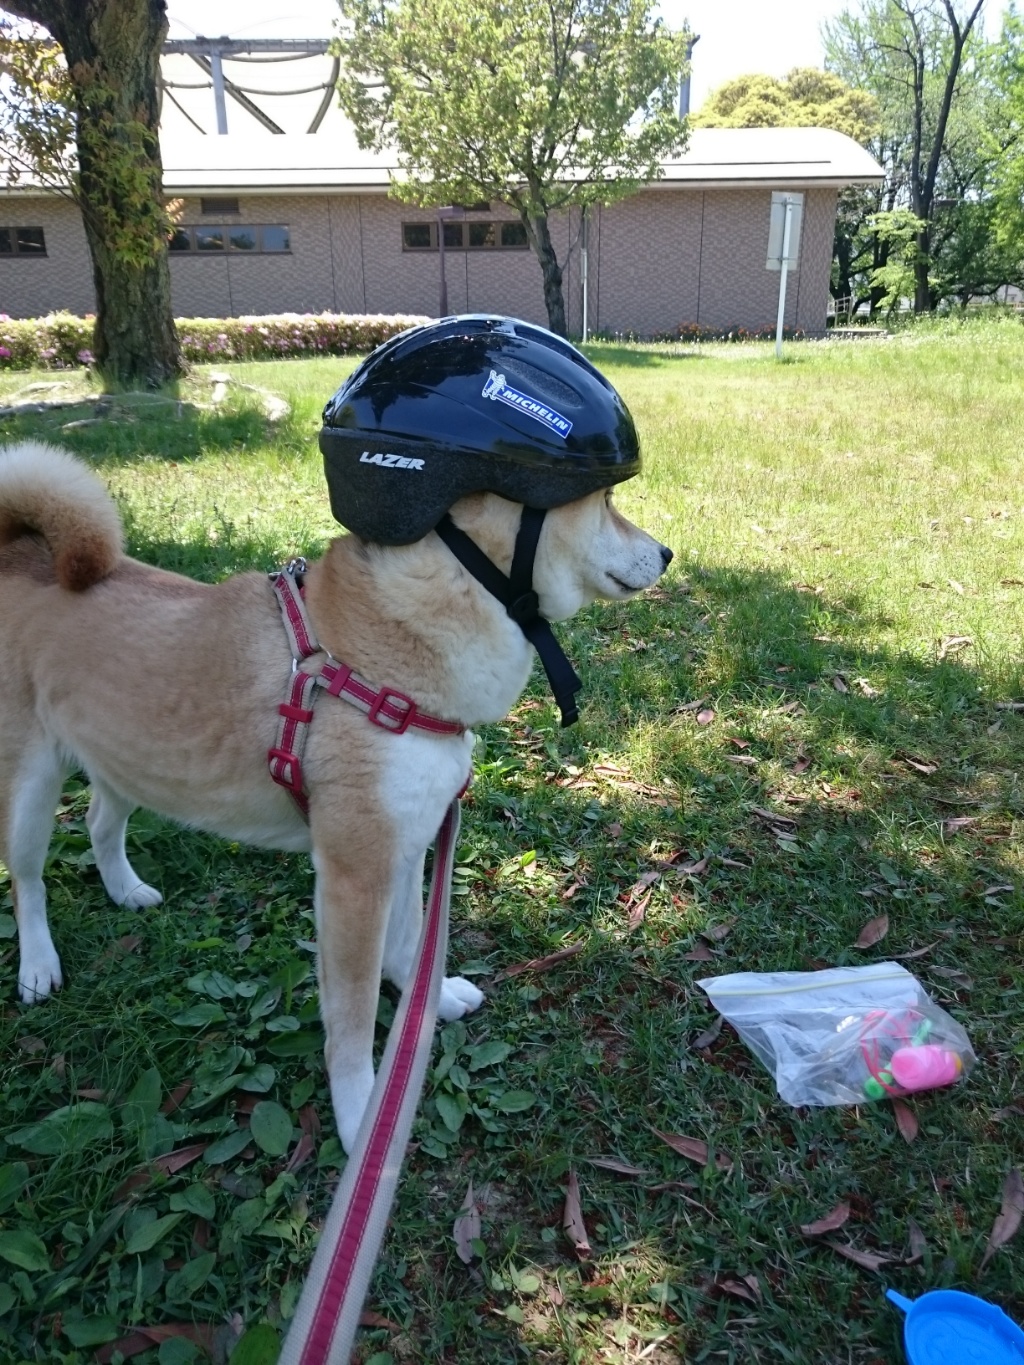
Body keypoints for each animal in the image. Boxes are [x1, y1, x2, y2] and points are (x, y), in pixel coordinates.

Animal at [0, 441, 671, 1152]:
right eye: (605, 501)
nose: (666, 554)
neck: (380, 664)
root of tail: (24, 553)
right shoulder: (355, 876)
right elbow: (350, 1020)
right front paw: (362, 1114)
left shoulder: (403, 847)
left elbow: (407, 945)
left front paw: (426, 1002)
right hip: (31, 789)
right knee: (28, 881)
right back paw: (38, 964)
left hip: (125, 759)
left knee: (102, 822)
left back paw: (125, 890)